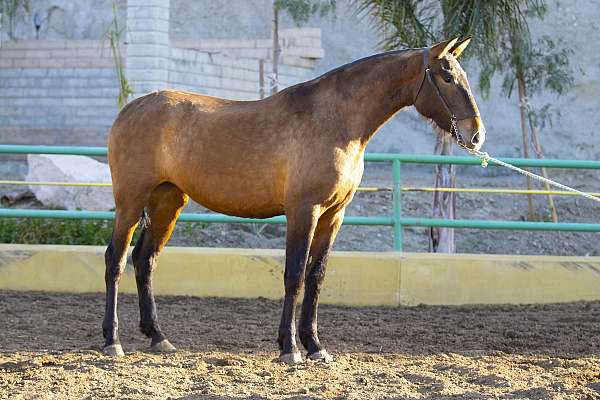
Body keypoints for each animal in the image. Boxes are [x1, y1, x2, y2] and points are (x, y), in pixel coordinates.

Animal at [103, 36, 486, 362]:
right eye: (447, 77)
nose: (476, 135)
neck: (337, 122)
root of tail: (128, 110)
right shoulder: (304, 212)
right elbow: (295, 275)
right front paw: (289, 348)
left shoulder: (333, 216)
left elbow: (317, 276)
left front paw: (315, 345)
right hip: (130, 203)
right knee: (116, 260)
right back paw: (112, 341)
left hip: (167, 203)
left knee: (145, 259)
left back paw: (158, 337)